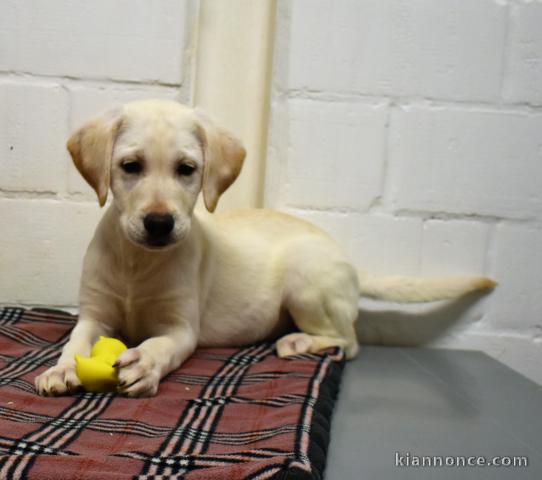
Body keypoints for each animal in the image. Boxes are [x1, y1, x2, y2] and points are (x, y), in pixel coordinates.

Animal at [34, 98, 498, 398]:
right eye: (130, 167)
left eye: (187, 170)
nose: (160, 224)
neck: (139, 262)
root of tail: (347, 260)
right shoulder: (94, 314)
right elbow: (75, 343)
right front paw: (60, 369)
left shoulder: (182, 327)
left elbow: (161, 346)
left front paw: (144, 363)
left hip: (306, 279)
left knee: (348, 342)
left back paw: (300, 343)